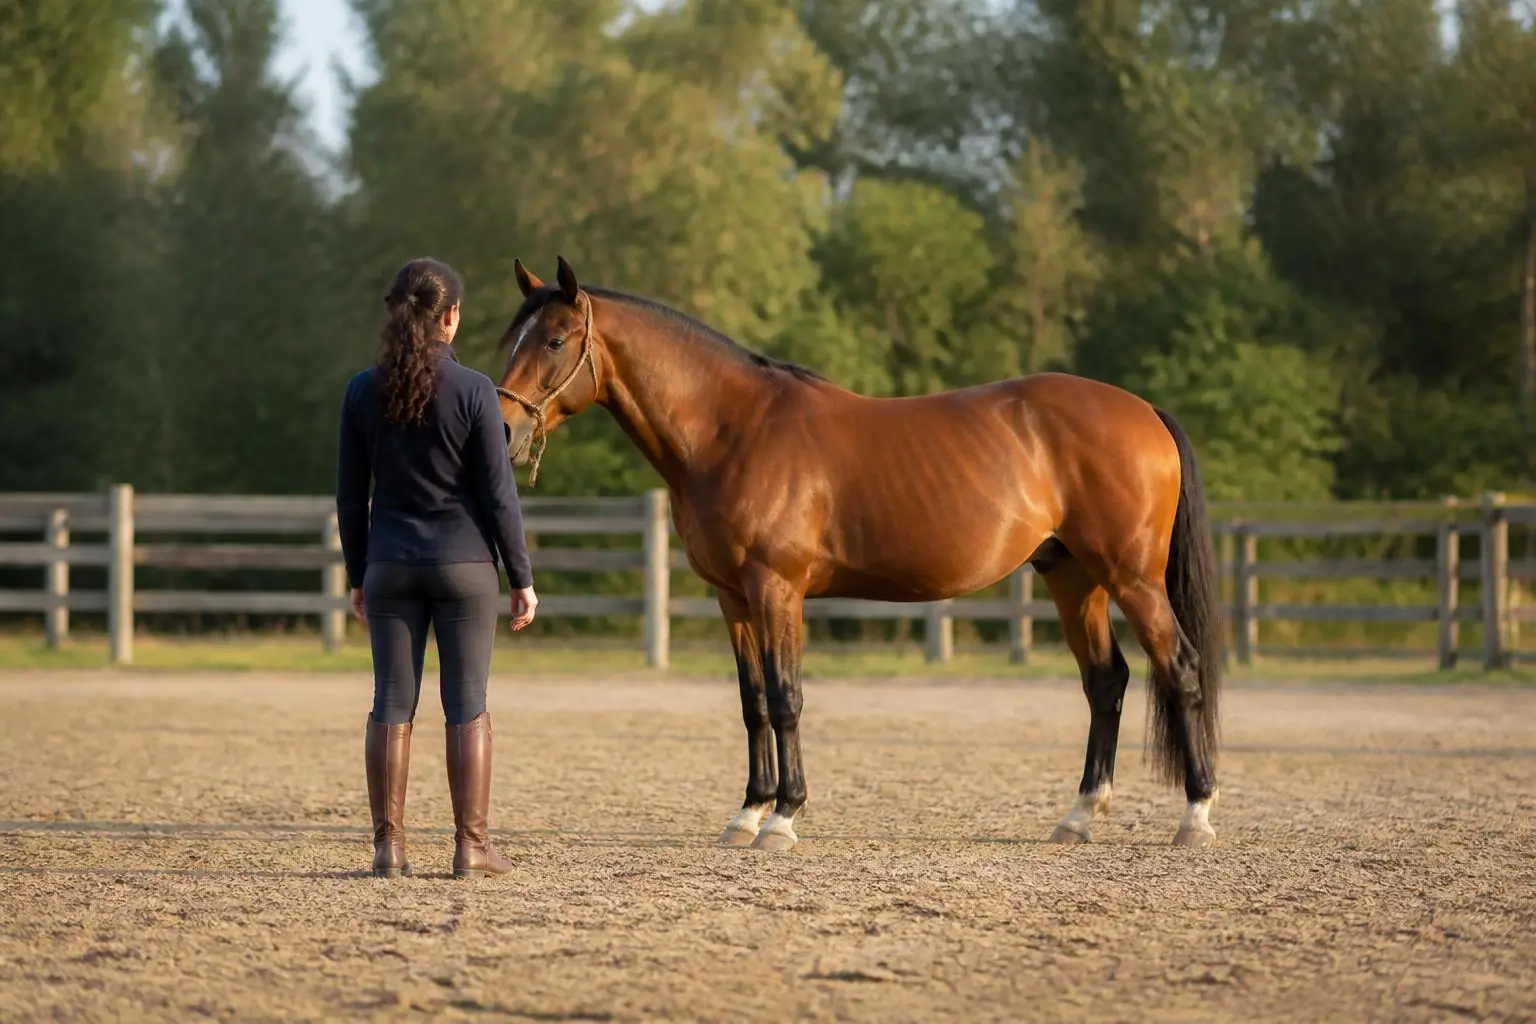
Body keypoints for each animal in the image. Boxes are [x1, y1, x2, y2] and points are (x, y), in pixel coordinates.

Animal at [492, 255, 1223, 852]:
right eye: (512, 340)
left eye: (554, 340)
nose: (503, 429)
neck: (733, 432)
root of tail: (1144, 412)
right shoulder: (732, 597)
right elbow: (752, 702)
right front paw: (747, 814)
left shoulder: (776, 588)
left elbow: (786, 697)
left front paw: (784, 818)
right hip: (1074, 578)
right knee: (1106, 682)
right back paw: (1079, 817)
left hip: (1132, 579)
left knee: (1182, 670)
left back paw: (1195, 816)